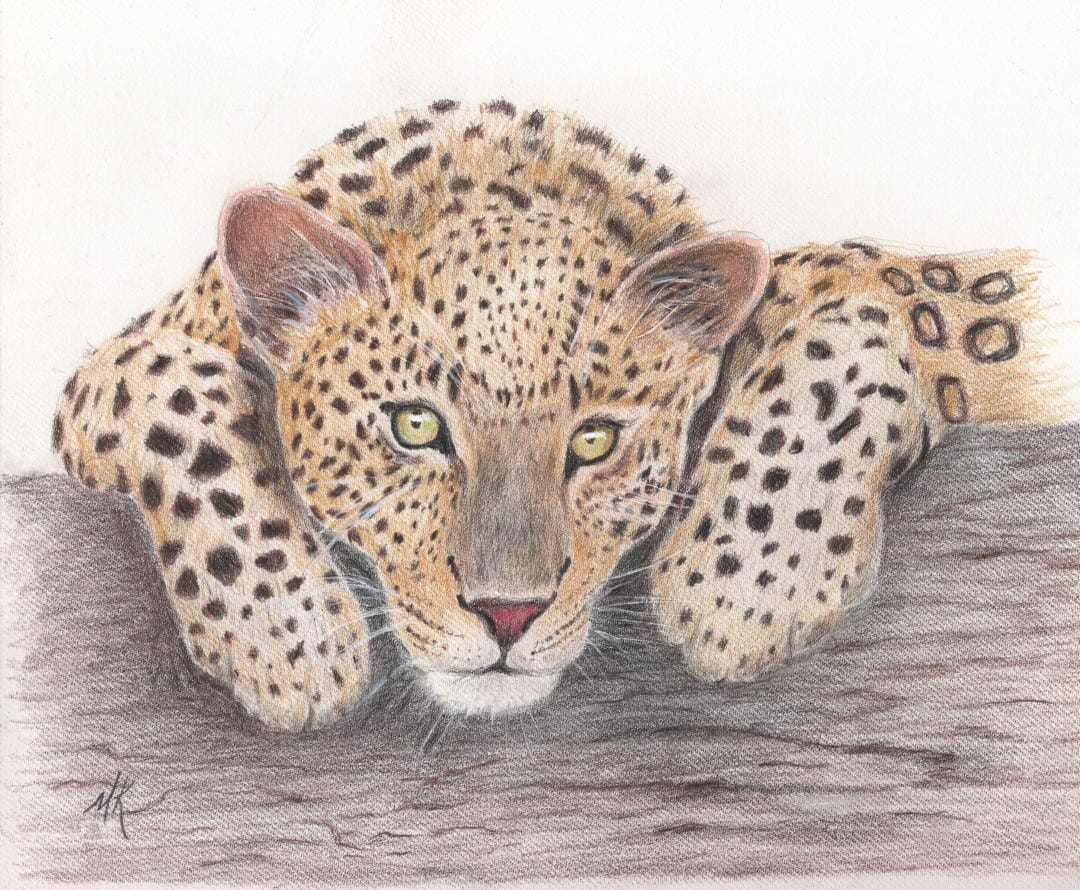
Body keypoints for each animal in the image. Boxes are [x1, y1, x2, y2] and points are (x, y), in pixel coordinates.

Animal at [52, 99, 1067, 731]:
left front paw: (744, 590)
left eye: (596, 440)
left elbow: (866, 320)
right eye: (413, 427)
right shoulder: (111, 377)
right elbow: (174, 385)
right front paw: (289, 638)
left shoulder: (876, 298)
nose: (507, 615)